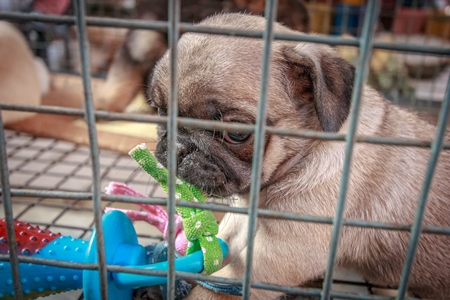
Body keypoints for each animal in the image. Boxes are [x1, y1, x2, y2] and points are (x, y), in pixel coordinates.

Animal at [149, 12, 450, 298]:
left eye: (236, 134)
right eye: (160, 110)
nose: (178, 146)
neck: (304, 153)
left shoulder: (278, 254)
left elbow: (215, 288)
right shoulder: (243, 222)